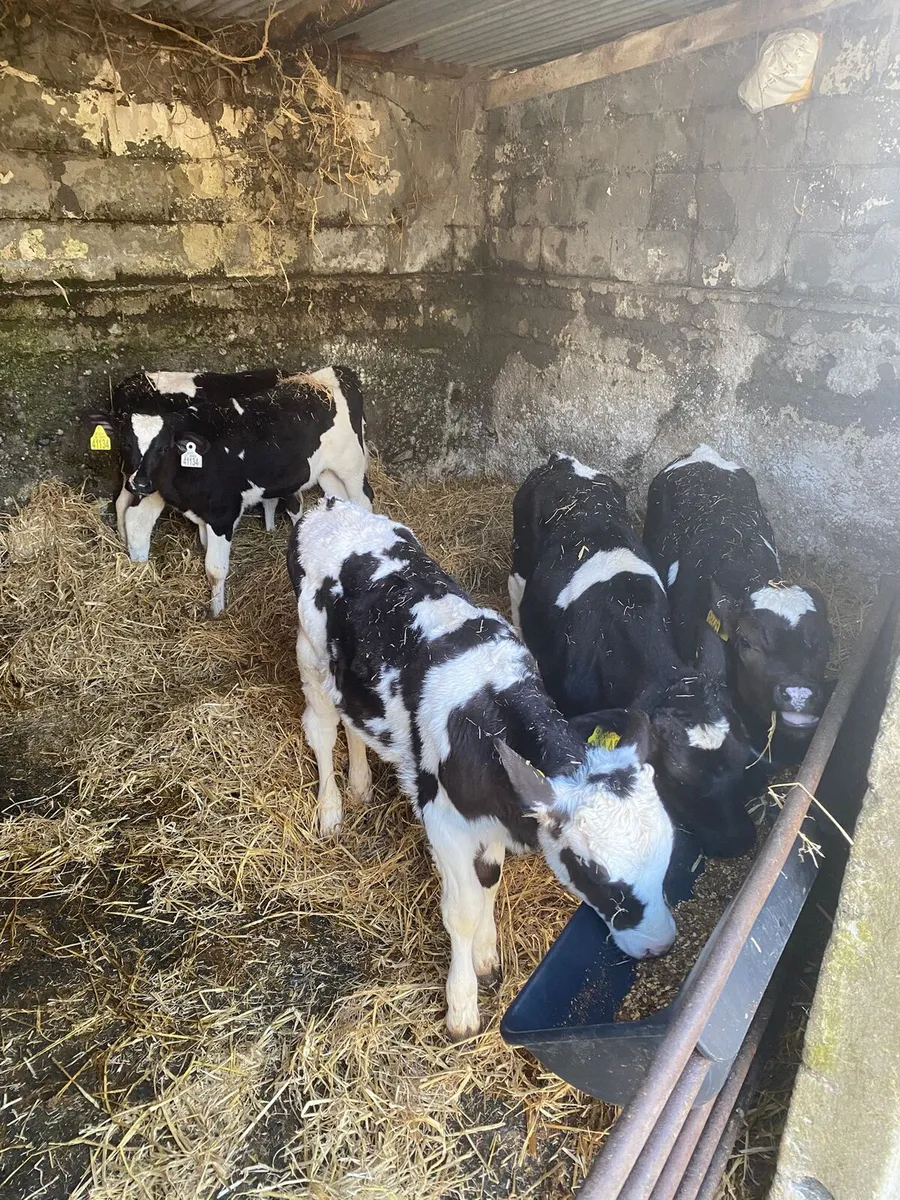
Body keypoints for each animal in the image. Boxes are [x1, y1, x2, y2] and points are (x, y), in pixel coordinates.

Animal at [88, 366, 373, 616]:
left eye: (163, 447)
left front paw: (217, 612)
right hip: (327, 473)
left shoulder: (222, 514)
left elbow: (215, 568)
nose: (141, 483)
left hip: (351, 465)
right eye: (126, 443)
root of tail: (333, 372)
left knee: (364, 499)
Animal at [288, 498, 676, 1041]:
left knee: (352, 724)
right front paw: (462, 1007)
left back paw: (361, 784)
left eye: (667, 858)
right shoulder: (445, 823)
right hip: (309, 655)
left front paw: (488, 957)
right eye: (595, 874)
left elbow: (489, 881)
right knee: (322, 730)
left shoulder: (498, 812)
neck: (490, 710)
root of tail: (327, 507)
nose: (662, 945)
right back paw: (331, 808)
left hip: (352, 682)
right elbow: (463, 913)